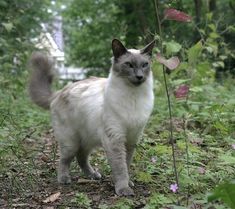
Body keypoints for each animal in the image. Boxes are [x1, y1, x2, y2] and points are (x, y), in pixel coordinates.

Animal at [28, 38, 154, 196]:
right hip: (71, 142)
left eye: (145, 65)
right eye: (129, 65)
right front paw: (123, 189)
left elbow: (126, 164)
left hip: (88, 139)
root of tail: (60, 91)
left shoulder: (131, 139)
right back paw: (64, 179)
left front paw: (129, 183)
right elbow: (120, 168)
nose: (139, 76)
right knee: (64, 160)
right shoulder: (115, 138)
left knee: (81, 157)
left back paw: (93, 175)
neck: (134, 97)